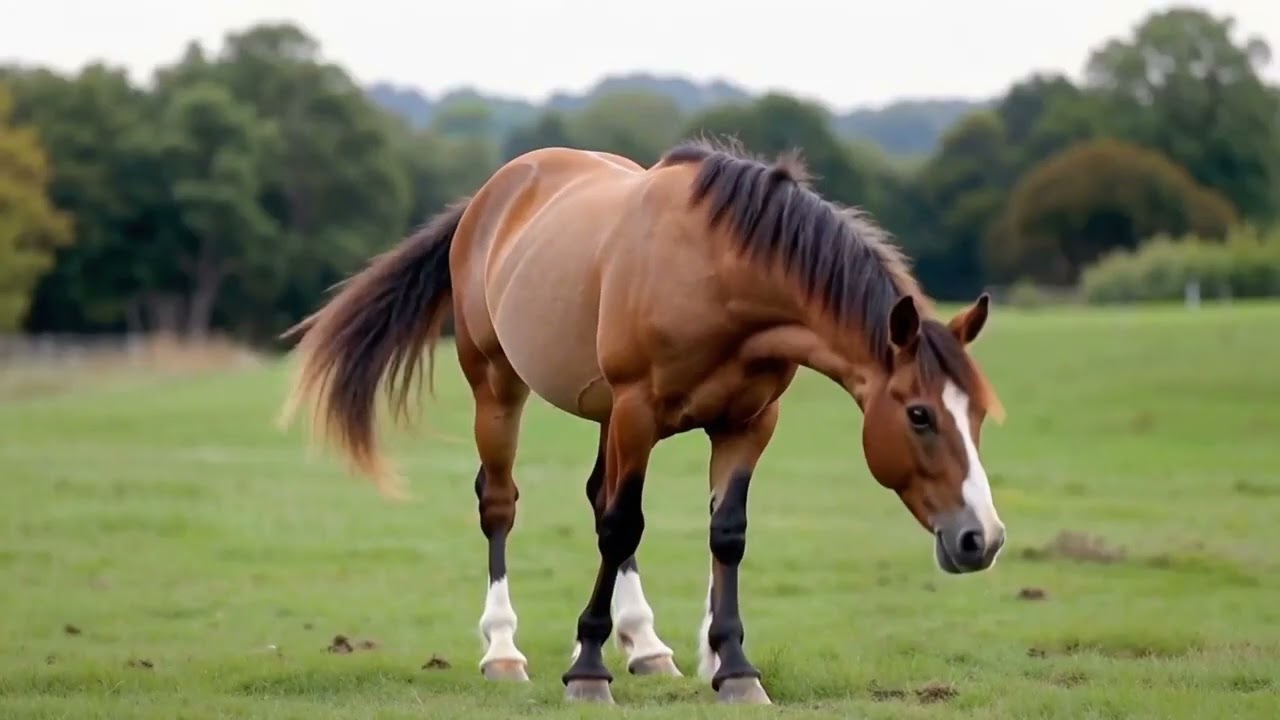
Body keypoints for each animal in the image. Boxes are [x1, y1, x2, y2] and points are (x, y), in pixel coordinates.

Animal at [278, 137, 1008, 705]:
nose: (983, 539)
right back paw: (504, 650)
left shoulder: (748, 423)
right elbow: (622, 525)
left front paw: (733, 667)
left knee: (599, 496)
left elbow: (725, 534)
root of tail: (491, 195)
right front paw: (587, 670)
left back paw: (646, 644)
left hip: (606, 417)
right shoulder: (639, 410)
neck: (718, 273)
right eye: (919, 414)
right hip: (498, 387)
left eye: (976, 414)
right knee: (502, 504)